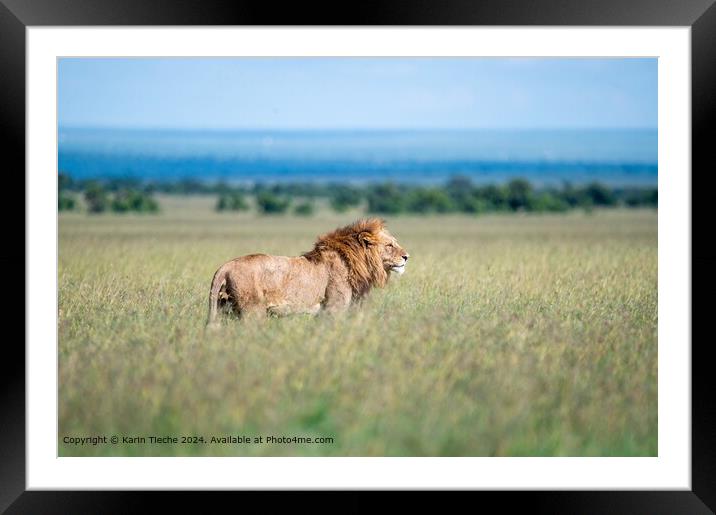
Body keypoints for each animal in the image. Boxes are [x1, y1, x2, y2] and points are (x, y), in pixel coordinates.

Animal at [206, 218, 408, 326]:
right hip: (252, 311)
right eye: (390, 245)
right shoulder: (334, 309)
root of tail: (225, 266)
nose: (407, 257)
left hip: (225, 309)